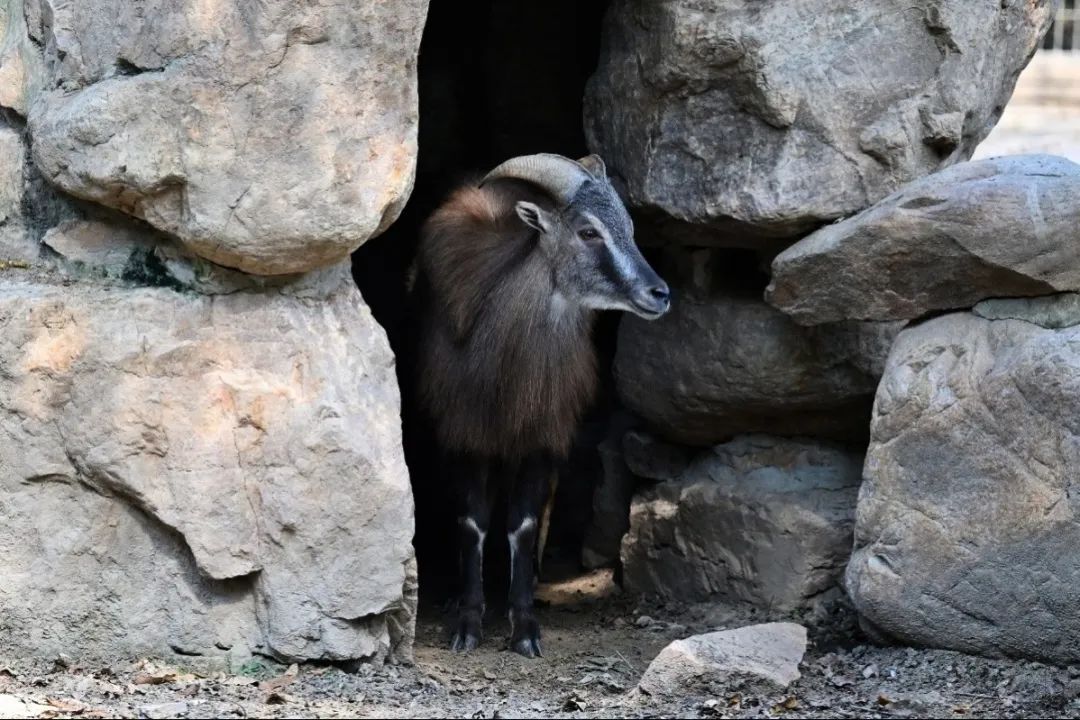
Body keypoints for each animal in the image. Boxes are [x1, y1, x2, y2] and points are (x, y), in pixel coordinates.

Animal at [411, 153, 670, 658]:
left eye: (628, 225)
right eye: (588, 231)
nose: (659, 294)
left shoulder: (542, 438)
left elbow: (524, 524)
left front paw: (524, 624)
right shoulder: (465, 434)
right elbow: (472, 521)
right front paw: (468, 622)